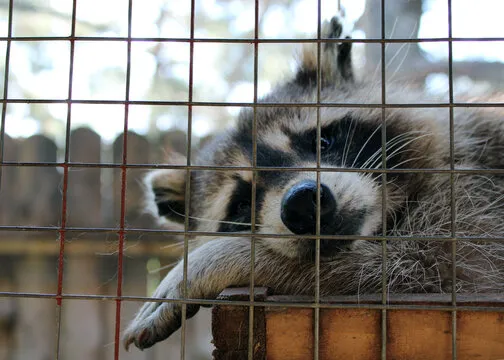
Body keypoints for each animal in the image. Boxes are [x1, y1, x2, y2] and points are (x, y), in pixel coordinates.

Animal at [122, 15, 504, 350]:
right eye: (242, 203)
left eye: (321, 141)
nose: (302, 204)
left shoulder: (469, 208)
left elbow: (431, 269)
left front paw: (213, 260)